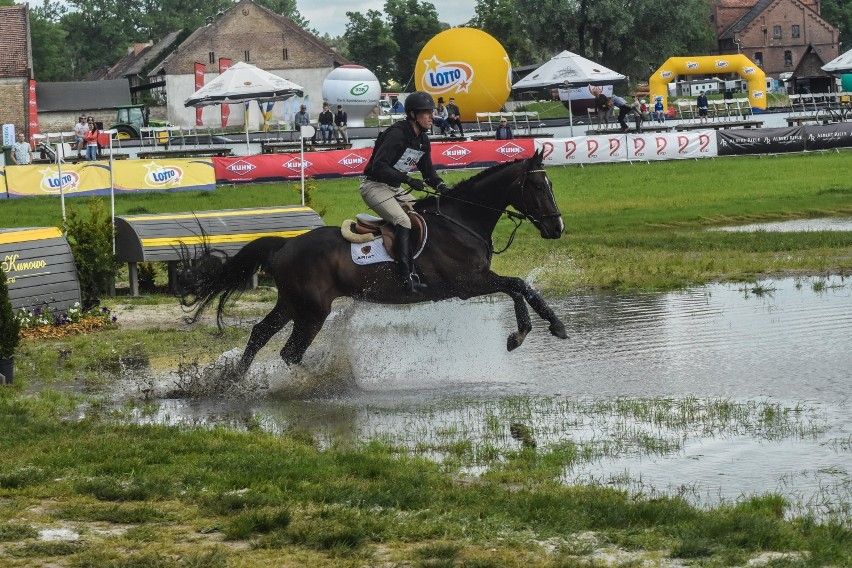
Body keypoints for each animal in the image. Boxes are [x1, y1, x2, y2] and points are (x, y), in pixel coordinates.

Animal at [177, 149, 568, 374]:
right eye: (537, 187)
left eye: (551, 185)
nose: (557, 228)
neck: (461, 220)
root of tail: (285, 246)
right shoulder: (467, 284)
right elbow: (517, 285)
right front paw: (526, 333)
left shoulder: (477, 281)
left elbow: (520, 287)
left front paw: (547, 328)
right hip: (313, 311)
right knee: (290, 352)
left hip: (291, 302)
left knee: (260, 334)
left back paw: (236, 379)